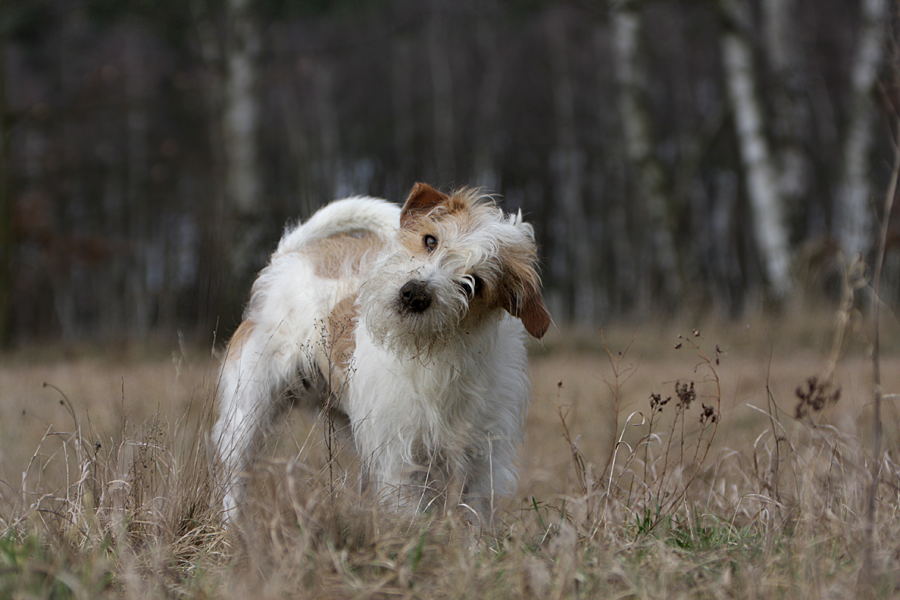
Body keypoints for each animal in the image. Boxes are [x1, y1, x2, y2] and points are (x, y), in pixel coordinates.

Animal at [213, 184, 548, 524]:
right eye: (430, 240)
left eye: (475, 284)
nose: (414, 293)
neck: (437, 354)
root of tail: (289, 256)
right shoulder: (400, 458)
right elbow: (412, 517)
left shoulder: (481, 461)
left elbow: (473, 517)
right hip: (248, 411)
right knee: (236, 475)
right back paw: (231, 529)